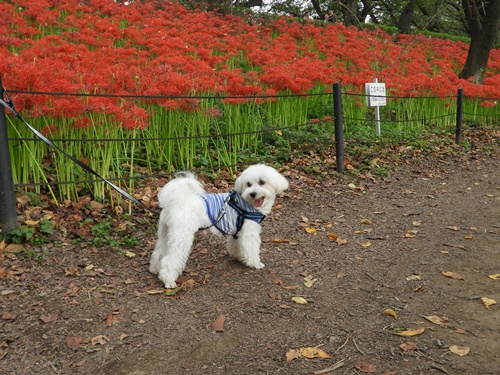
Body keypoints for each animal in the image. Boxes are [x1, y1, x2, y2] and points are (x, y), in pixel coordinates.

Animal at [149, 164, 290, 288]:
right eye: (249, 184)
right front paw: (255, 263)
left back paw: (154, 269)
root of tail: (176, 201)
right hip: (181, 236)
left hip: (166, 233)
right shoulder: (249, 232)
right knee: (170, 259)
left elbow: (235, 245)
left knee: (158, 252)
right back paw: (168, 280)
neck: (246, 203)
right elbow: (251, 249)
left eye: (261, 182)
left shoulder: (237, 231)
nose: (253, 193)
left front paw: (238, 256)